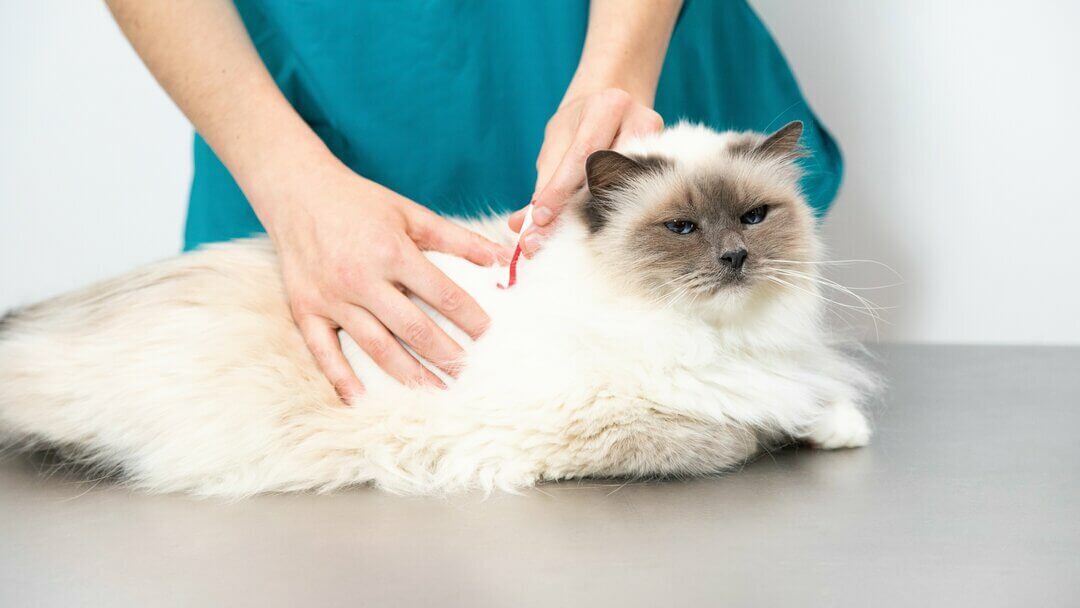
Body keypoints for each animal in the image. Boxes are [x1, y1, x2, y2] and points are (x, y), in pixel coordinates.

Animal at [0, 121, 872, 496]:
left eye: (753, 218)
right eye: (683, 229)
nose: (733, 259)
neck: (713, 338)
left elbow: (804, 403)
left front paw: (837, 428)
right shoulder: (594, 428)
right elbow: (732, 435)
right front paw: (790, 432)